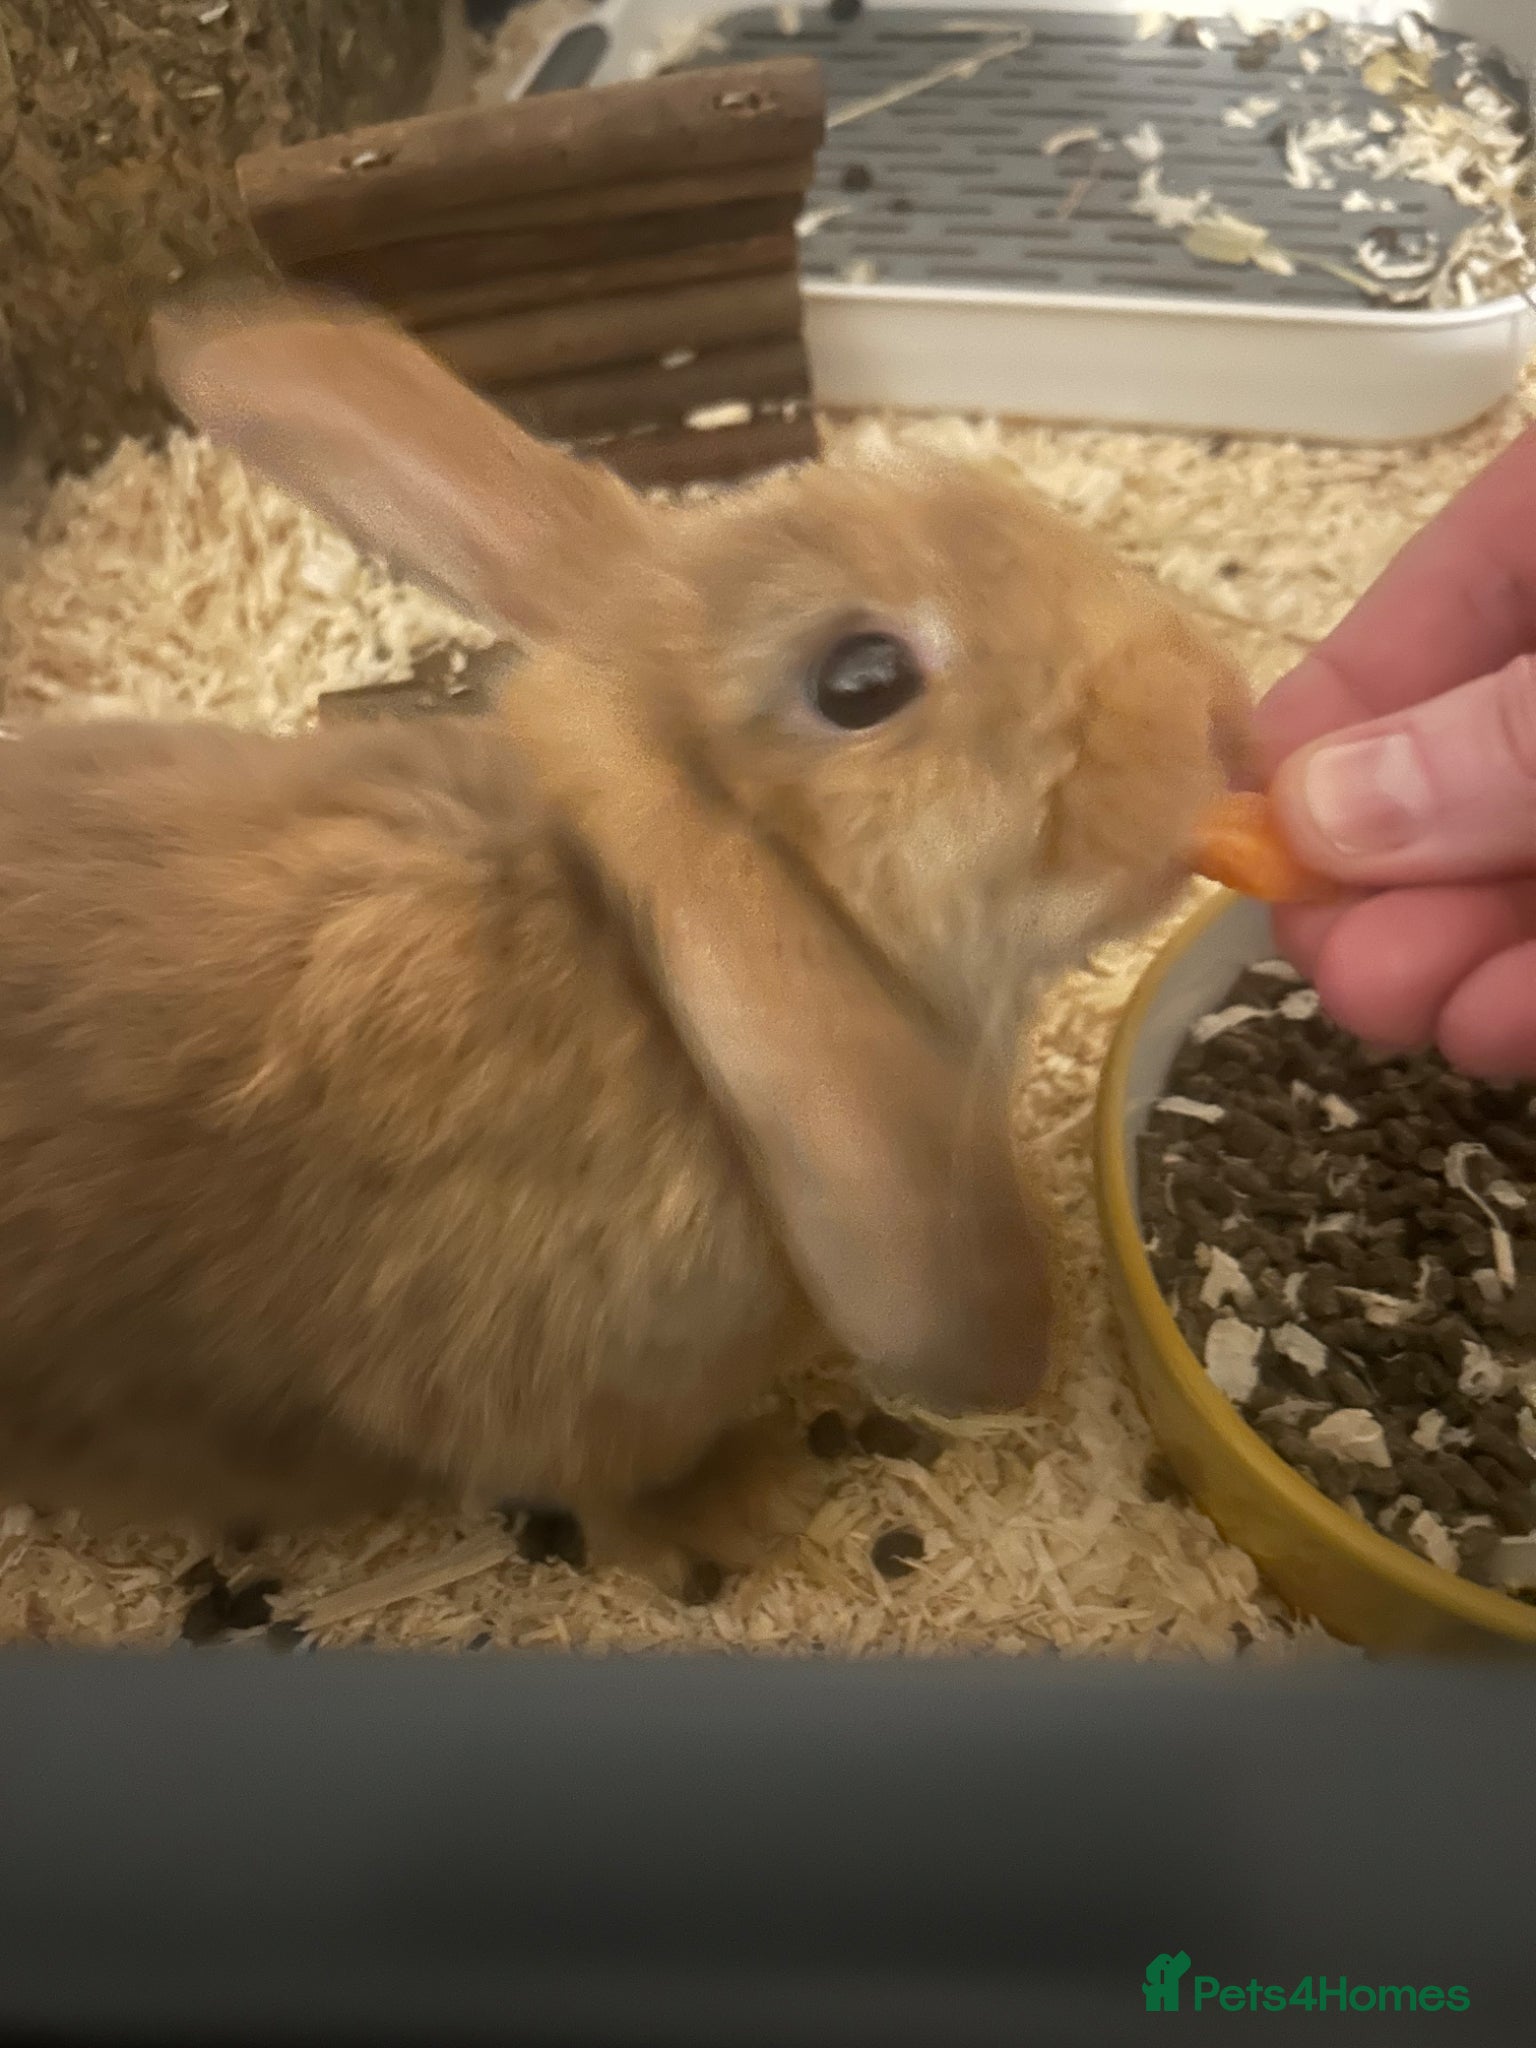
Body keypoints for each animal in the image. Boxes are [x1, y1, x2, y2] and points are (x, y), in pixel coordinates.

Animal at [0, 281, 1253, 1596]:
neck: (650, 982)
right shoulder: (555, 1393)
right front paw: (739, 1511)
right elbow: (605, 1484)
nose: (1223, 715)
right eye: (862, 680)